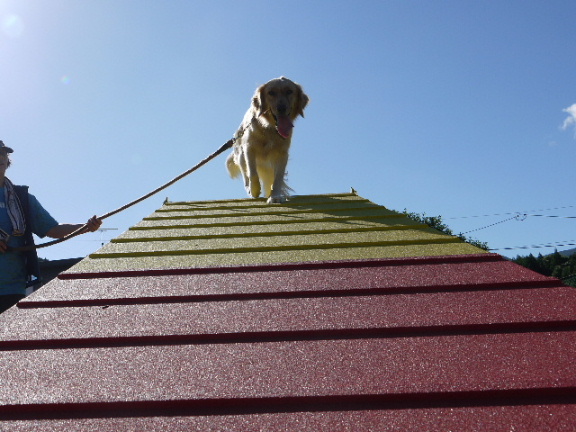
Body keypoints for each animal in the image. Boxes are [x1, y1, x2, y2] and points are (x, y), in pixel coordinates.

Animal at [225, 76, 308, 204]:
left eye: (289, 91)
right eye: (271, 92)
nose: (281, 108)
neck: (269, 129)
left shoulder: (282, 154)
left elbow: (278, 178)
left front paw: (275, 196)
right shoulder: (249, 148)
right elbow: (252, 172)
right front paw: (254, 190)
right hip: (240, 154)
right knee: (245, 172)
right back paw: (249, 187)